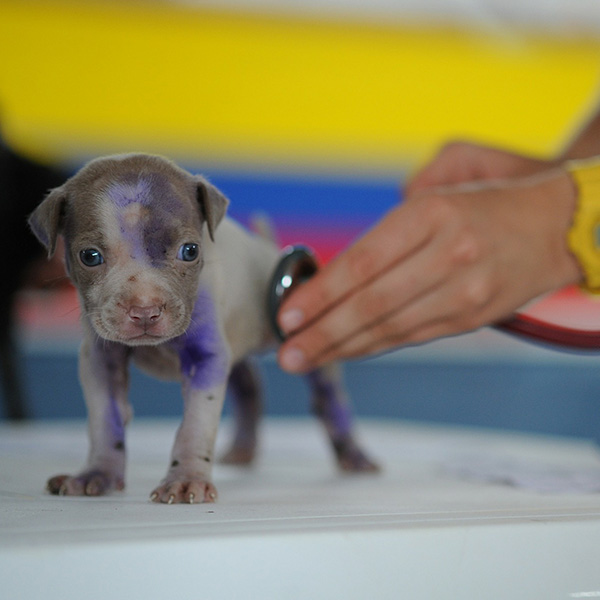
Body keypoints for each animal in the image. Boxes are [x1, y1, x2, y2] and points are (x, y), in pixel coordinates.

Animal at [29, 154, 380, 502]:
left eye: (190, 251)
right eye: (90, 256)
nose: (145, 310)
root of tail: (267, 248)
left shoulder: (206, 358)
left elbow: (195, 425)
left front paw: (186, 478)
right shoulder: (100, 360)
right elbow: (105, 420)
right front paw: (97, 473)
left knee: (328, 397)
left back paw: (354, 455)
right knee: (249, 384)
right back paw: (243, 449)